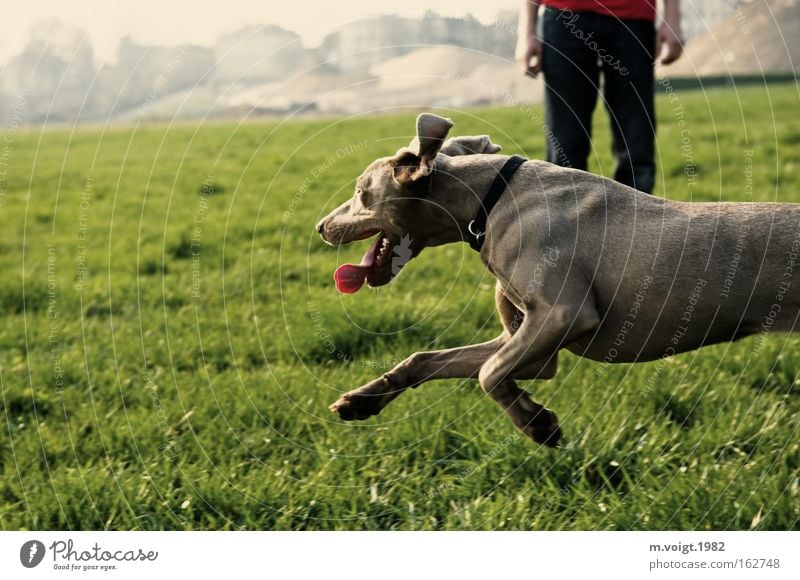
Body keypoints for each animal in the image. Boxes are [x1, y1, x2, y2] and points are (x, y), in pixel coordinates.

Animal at [316, 114, 796, 448]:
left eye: (360, 191)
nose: (320, 227)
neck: (491, 198)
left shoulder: (564, 315)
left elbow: (489, 374)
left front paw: (537, 423)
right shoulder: (527, 341)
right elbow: (427, 359)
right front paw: (362, 400)